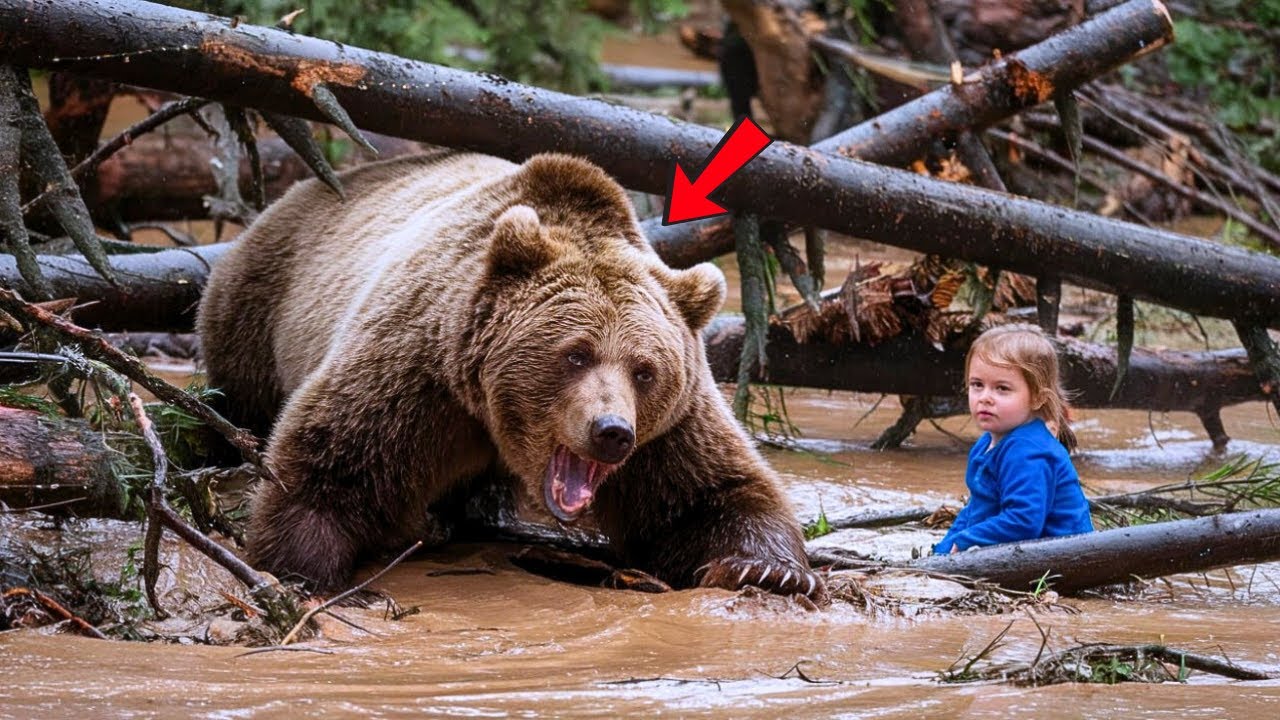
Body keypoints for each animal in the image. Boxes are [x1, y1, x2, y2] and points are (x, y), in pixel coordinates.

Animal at [198, 148, 825, 602]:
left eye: (644, 370)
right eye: (576, 353)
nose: (611, 431)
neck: (495, 420)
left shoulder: (669, 428)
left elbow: (708, 492)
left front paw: (771, 570)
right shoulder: (419, 371)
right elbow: (334, 459)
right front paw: (300, 572)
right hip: (259, 310)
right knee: (239, 399)